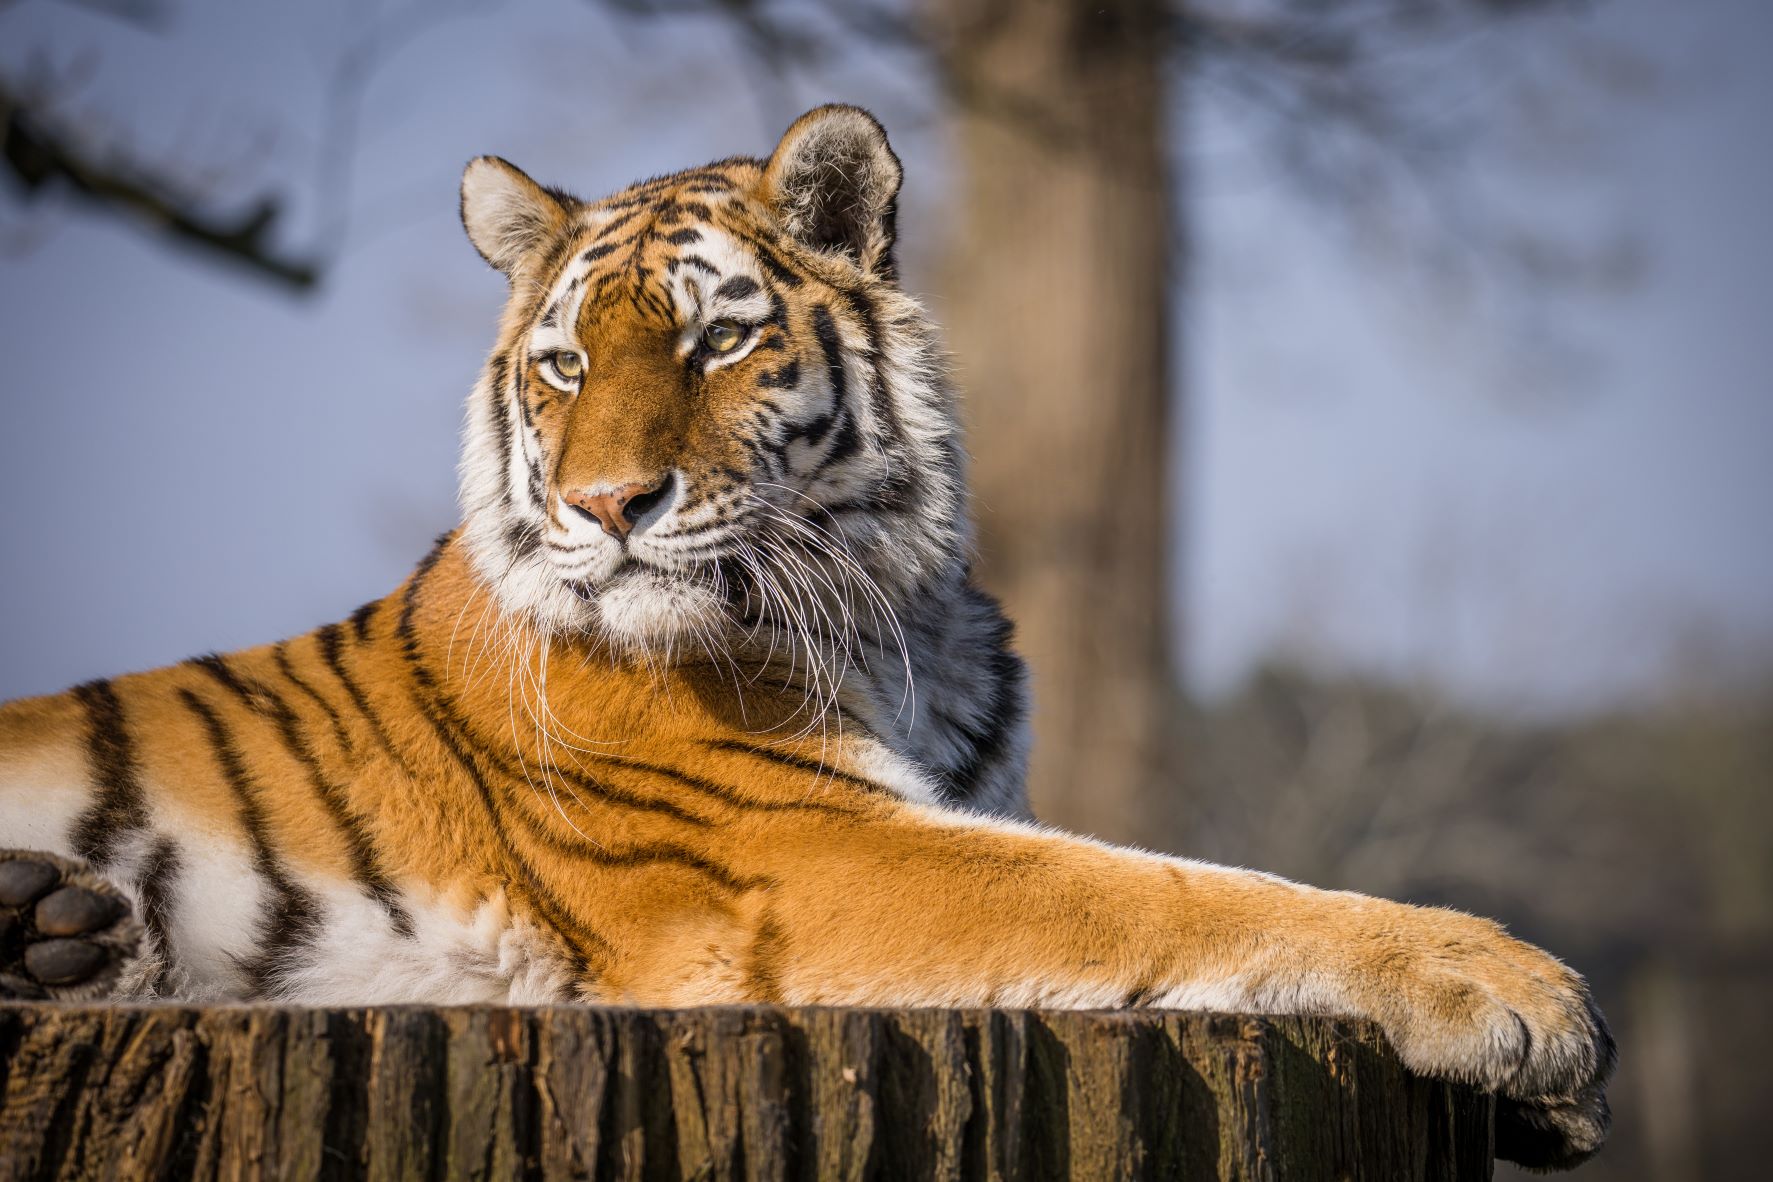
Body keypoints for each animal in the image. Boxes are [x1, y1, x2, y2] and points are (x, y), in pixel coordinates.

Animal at [0, 104, 1609, 1176]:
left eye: (716, 341)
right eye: (564, 365)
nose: (605, 504)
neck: (907, 622)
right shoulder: (802, 850)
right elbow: (1170, 891)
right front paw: (1514, 994)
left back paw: (61, 934)